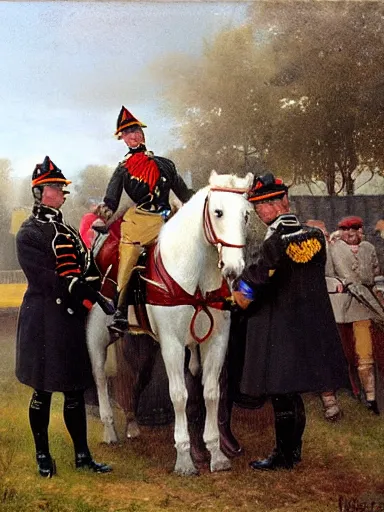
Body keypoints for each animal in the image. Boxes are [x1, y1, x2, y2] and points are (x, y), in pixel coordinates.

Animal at [87, 172, 255, 476]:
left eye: (246, 214)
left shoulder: (217, 340)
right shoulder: (173, 345)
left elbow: (211, 392)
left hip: (142, 343)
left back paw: (132, 425)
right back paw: (109, 430)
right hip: (97, 335)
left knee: (137, 378)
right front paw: (185, 459)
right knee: (100, 376)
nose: (233, 269)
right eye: (218, 212)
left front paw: (216, 453)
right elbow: (179, 395)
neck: (195, 275)